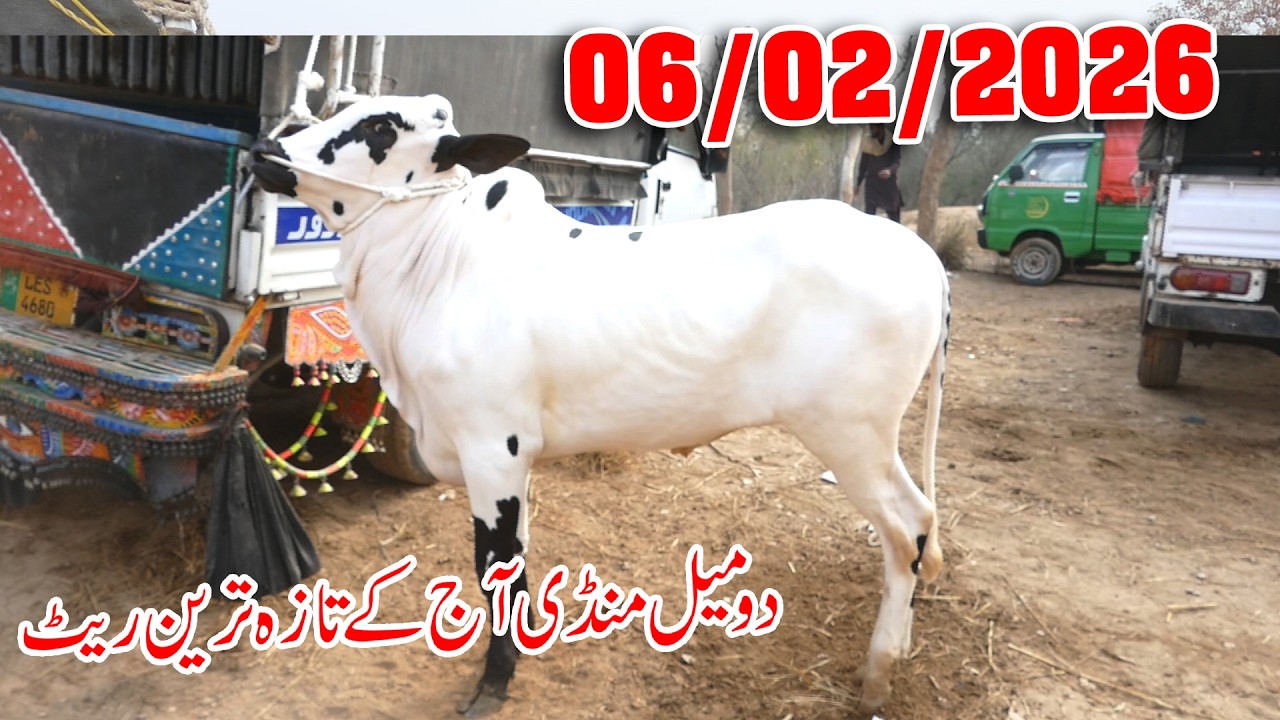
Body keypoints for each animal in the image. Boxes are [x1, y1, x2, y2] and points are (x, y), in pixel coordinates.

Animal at [250, 94, 950, 718]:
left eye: (379, 127)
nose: (266, 149)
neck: (440, 265)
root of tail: (922, 255)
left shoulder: (491, 448)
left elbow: (493, 564)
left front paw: (493, 684)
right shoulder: (515, 458)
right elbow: (519, 554)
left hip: (851, 433)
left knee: (909, 527)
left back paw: (879, 673)